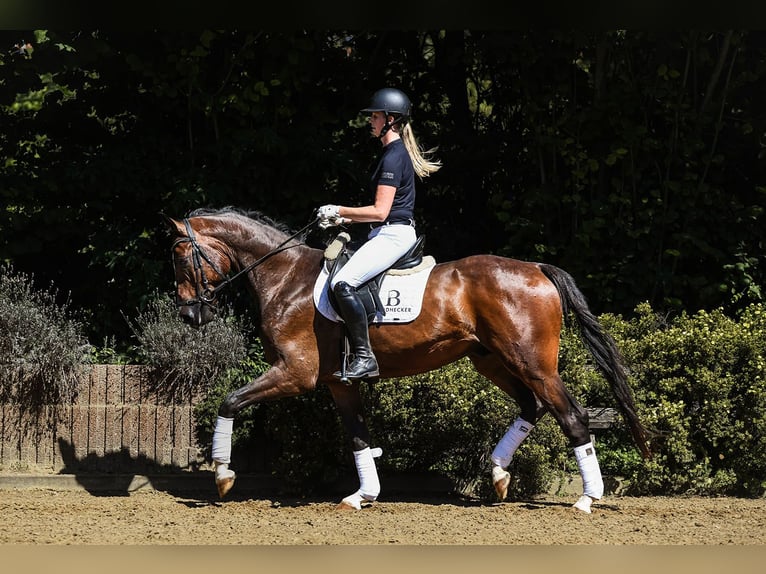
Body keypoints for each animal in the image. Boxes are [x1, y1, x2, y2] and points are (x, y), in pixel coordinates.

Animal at [165, 209, 652, 516]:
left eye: (180, 255)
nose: (189, 315)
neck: (285, 279)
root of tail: (534, 267)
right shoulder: (339, 381)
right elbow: (358, 436)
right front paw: (363, 495)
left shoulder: (295, 374)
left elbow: (230, 401)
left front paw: (223, 475)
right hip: (491, 360)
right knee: (531, 407)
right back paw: (497, 474)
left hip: (533, 363)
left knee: (571, 416)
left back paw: (586, 499)